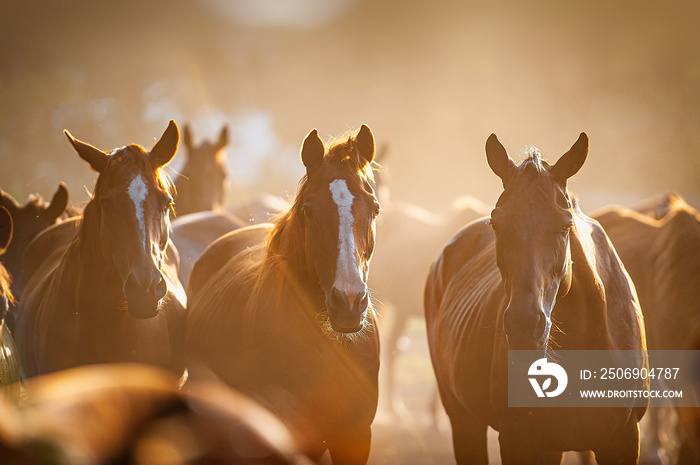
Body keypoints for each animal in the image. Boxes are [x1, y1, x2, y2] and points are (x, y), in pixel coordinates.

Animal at [426, 132, 652, 462]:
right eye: (496, 223)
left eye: (565, 225)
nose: (524, 326)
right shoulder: (517, 440)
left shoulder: (622, 439)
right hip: (464, 420)